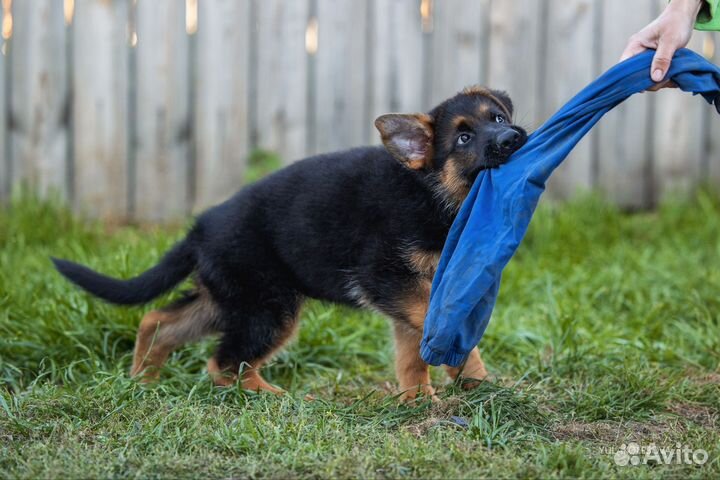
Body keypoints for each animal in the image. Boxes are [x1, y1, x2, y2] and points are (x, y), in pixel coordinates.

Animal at [53, 87, 528, 402]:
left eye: (498, 119)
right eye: (463, 138)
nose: (512, 139)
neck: (430, 191)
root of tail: (201, 228)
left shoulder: (411, 287)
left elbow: (413, 350)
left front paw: (424, 400)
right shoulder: (386, 276)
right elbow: (438, 324)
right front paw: (469, 381)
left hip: (232, 297)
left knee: (159, 322)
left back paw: (143, 381)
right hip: (268, 306)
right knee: (224, 363)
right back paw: (274, 399)